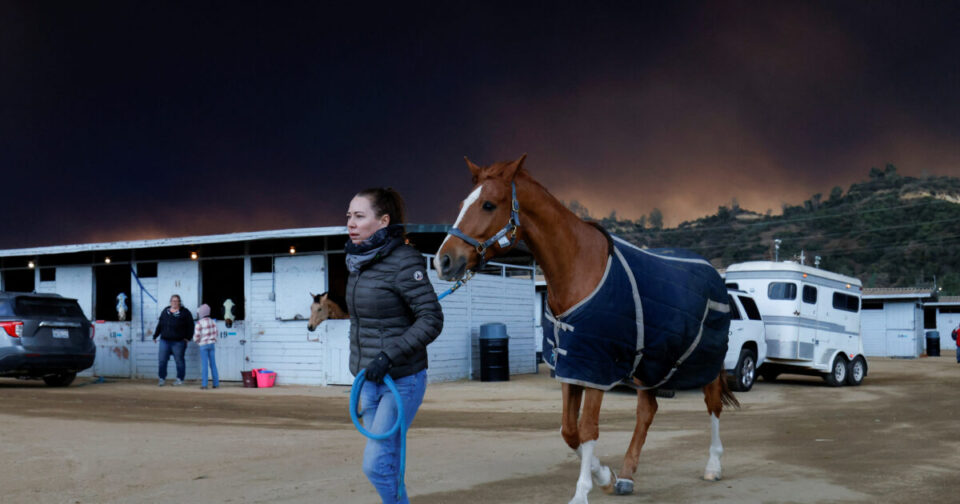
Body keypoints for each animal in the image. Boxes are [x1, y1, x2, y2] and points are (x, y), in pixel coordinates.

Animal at [436, 156, 744, 502]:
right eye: (462, 204)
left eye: (488, 204)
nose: (443, 261)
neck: (578, 267)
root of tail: (715, 275)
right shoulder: (572, 365)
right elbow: (569, 431)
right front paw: (606, 476)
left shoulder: (596, 365)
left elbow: (587, 429)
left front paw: (582, 491)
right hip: (651, 362)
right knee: (647, 410)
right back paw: (627, 475)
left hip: (706, 360)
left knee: (713, 404)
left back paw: (713, 466)